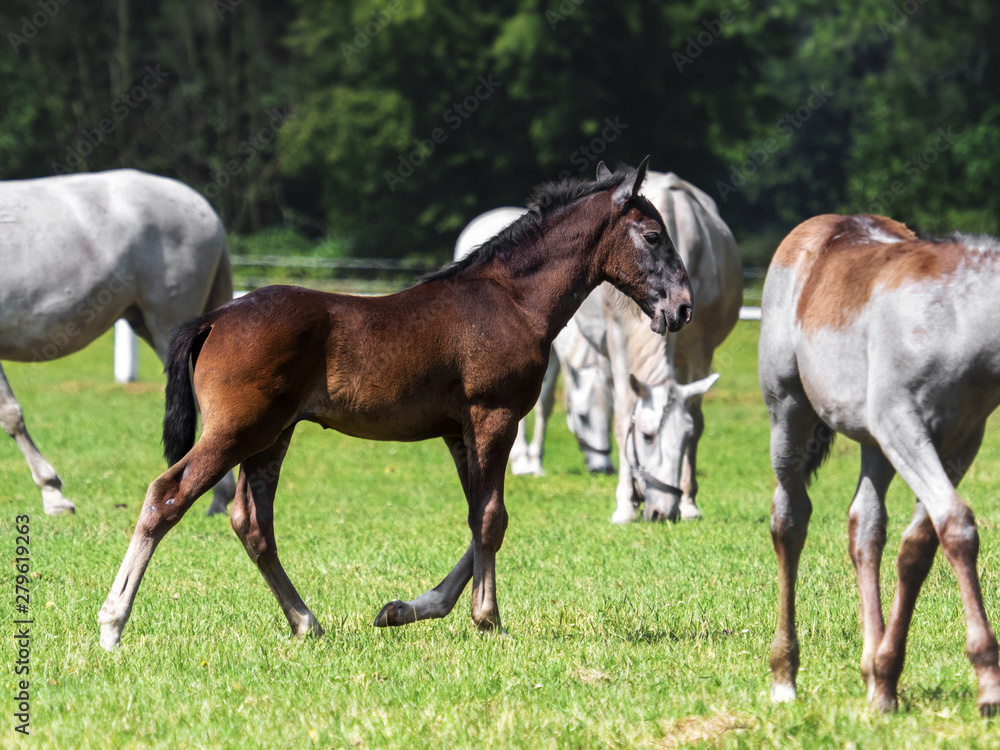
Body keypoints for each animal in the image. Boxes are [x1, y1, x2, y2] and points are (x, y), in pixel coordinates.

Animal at [456, 207, 612, 476]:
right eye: (583, 416)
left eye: (611, 416)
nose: (603, 469)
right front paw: (522, 462)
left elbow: (545, 404)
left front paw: (536, 460)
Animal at [588, 167, 748, 524]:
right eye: (647, 436)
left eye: (684, 438)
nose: (664, 512)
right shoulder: (618, 340)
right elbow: (623, 415)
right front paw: (624, 504)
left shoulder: (700, 348)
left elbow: (697, 418)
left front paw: (688, 503)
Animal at [760, 213, 996, 716]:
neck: (955, 317)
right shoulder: (901, 424)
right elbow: (957, 527)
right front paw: (989, 679)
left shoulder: (961, 441)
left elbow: (920, 545)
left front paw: (887, 676)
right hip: (788, 413)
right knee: (790, 519)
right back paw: (785, 674)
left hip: (874, 444)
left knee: (865, 527)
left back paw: (871, 668)